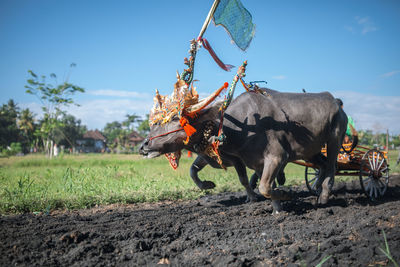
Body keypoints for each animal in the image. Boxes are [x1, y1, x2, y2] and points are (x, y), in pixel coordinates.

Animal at [140, 90, 346, 214]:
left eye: (175, 118)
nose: (143, 146)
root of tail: (335, 100)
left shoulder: (276, 157)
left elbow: (261, 186)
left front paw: (282, 195)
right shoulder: (244, 160)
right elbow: (194, 170)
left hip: (335, 140)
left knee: (332, 166)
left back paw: (324, 195)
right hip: (310, 150)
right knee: (322, 165)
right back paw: (317, 187)